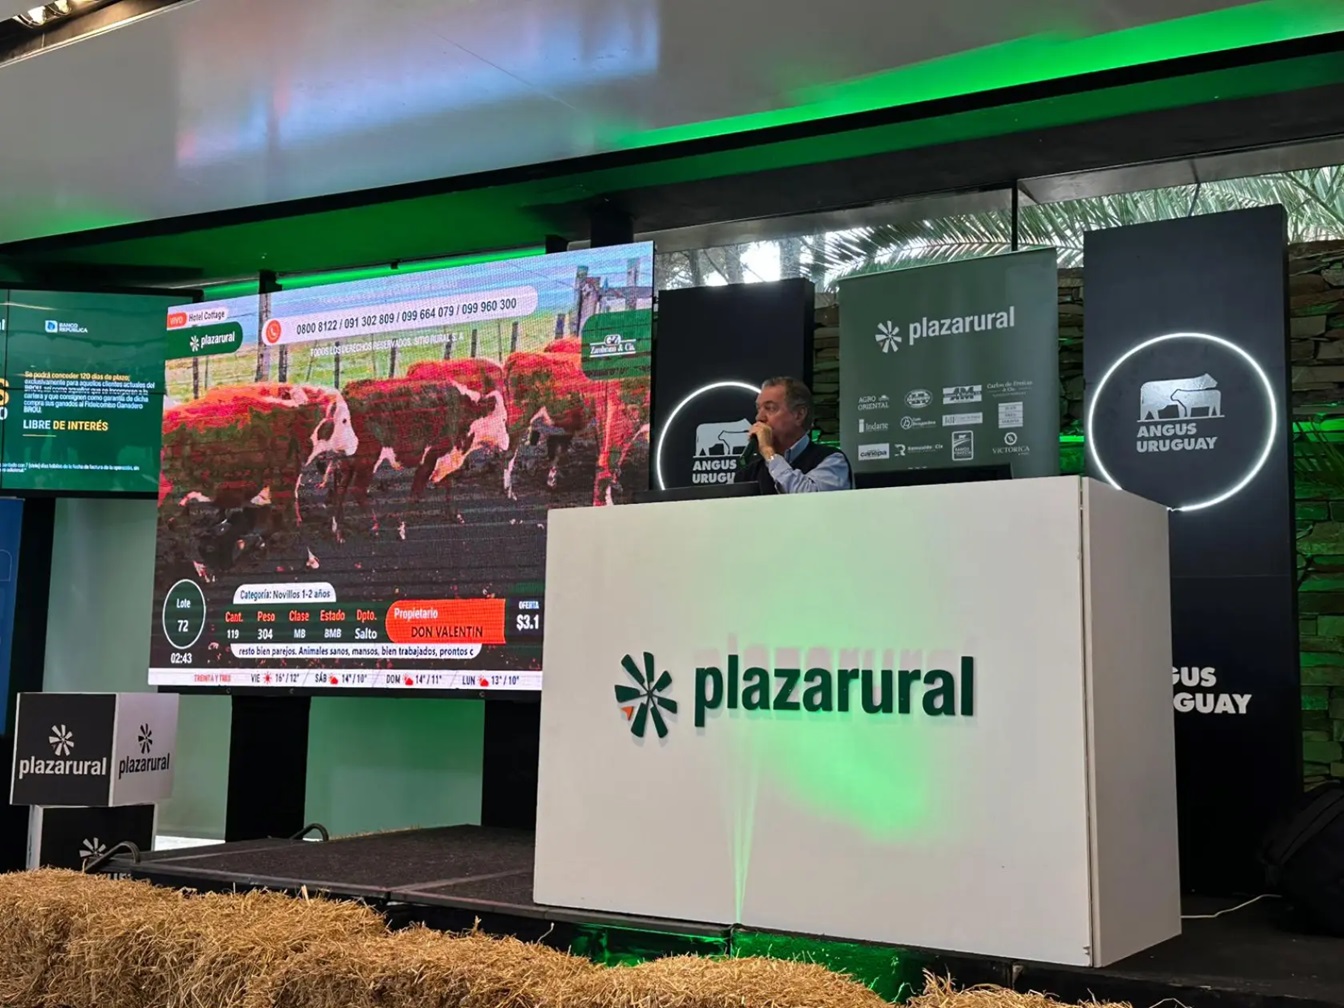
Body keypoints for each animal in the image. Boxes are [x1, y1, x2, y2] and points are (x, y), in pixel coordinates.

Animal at [158, 383, 359, 579]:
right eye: (344, 420)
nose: (356, 444)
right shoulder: (283, 484)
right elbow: (292, 521)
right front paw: (310, 560)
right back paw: (200, 568)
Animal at [329, 377, 503, 541]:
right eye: (501, 418)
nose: (505, 444)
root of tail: (349, 392)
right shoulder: (431, 457)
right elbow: (416, 492)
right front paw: (402, 528)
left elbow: (447, 484)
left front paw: (454, 514)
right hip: (368, 459)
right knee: (357, 489)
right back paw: (374, 526)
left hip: (349, 462)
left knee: (341, 489)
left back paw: (338, 531)